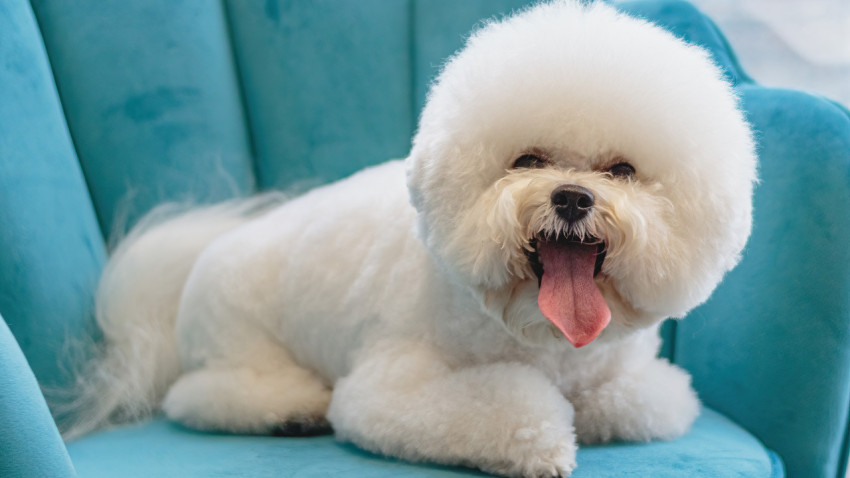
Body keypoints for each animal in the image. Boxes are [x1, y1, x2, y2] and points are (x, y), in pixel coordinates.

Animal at [66, 1, 756, 476]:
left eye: (621, 171)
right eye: (526, 161)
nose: (572, 197)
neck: (542, 338)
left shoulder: (636, 380)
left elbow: (648, 402)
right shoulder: (390, 388)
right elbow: (506, 408)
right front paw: (544, 437)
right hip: (238, 339)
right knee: (199, 396)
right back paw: (289, 409)